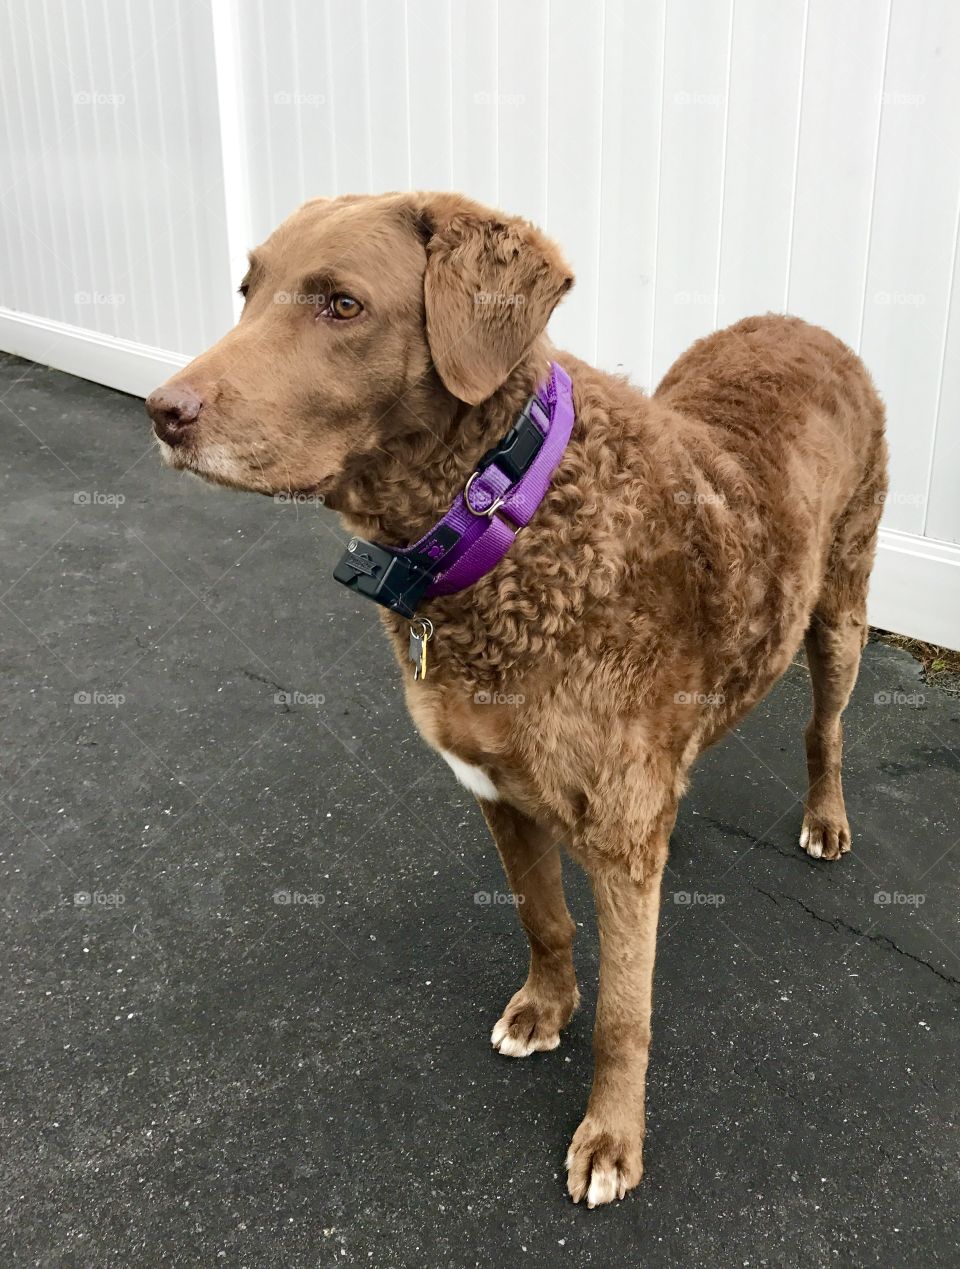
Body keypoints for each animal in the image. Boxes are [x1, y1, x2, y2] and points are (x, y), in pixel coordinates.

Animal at [145, 192, 887, 1203]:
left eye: (342, 304)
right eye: (247, 291)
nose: (162, 411)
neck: (506, 517)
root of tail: (800, 321)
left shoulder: (616, 832)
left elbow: (626, 1014)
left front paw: (611, 1138)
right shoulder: (496, 786)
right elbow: (543, 917)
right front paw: (543, 1008)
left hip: (842, 605)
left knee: (826, 725)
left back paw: (826, 815)